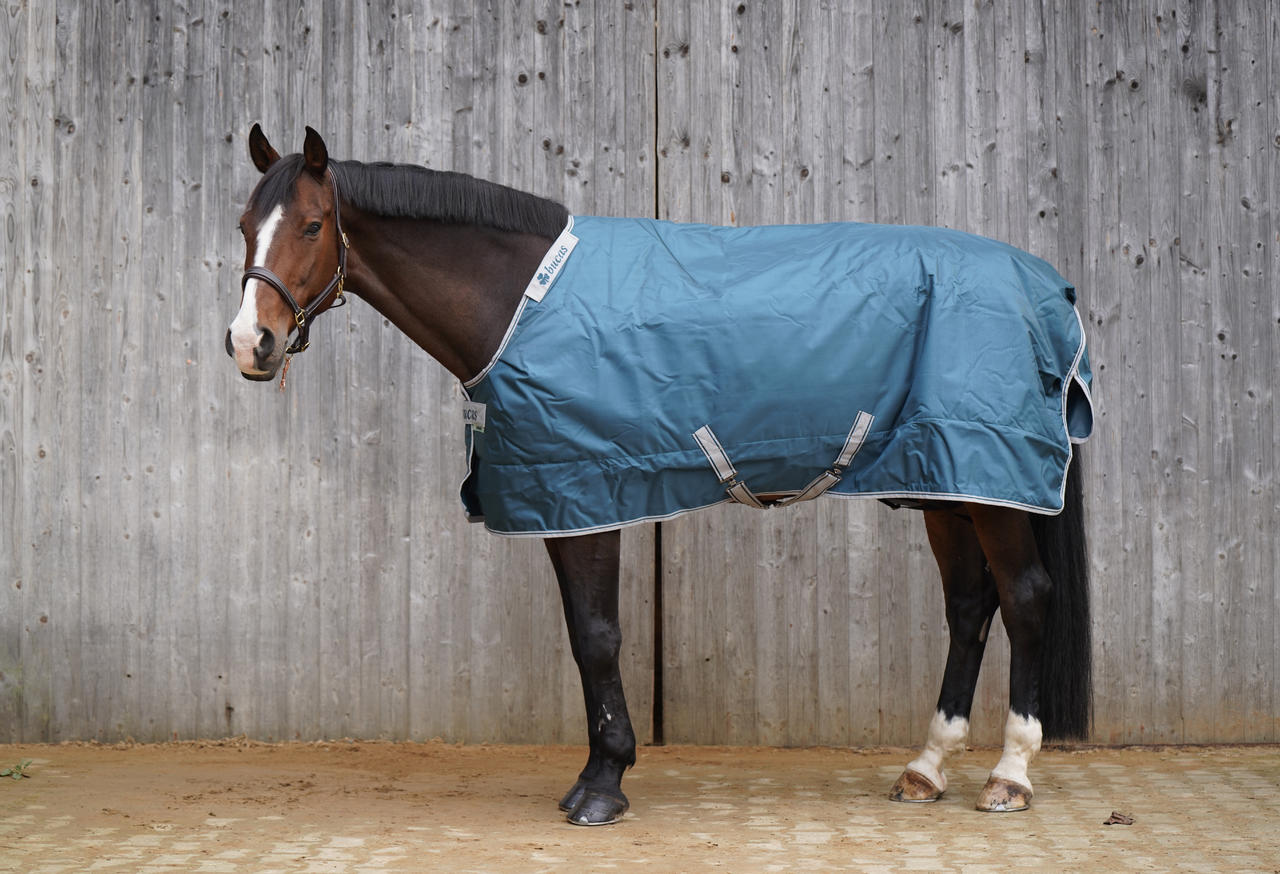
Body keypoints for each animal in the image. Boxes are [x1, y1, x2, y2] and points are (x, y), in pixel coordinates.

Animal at [226, 125, 1093, 826]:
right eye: (244, 227)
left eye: (311, 225)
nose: (248, 343)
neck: (524, 302)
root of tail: (1048, 286)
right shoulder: (561, 497)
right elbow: (585, 636)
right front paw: (596, 775)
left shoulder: (588, 490)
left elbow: (597, 637)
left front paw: (603, 785)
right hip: (950, 484)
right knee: (969, 607)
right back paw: (926, 769)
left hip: (992, 480)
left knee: (1024, 599)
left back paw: (1009, 776)